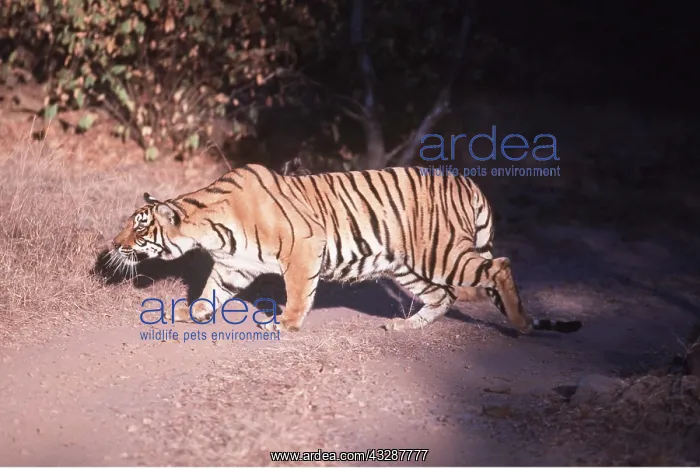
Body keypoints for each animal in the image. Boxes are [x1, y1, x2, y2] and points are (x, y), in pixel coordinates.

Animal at [110, 164, 582, 335]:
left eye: (139, 229)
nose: (113, 246)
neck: (208, 228)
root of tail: (469, 183)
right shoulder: (234, 266)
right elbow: (209, 291)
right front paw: (196, 313)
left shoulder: (304, 247)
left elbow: (298, 293)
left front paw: (286, 324)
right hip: (407, 267)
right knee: (443, 296)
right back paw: (405, 327)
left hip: (443, 253)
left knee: (498, 266)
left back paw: (520, 324)